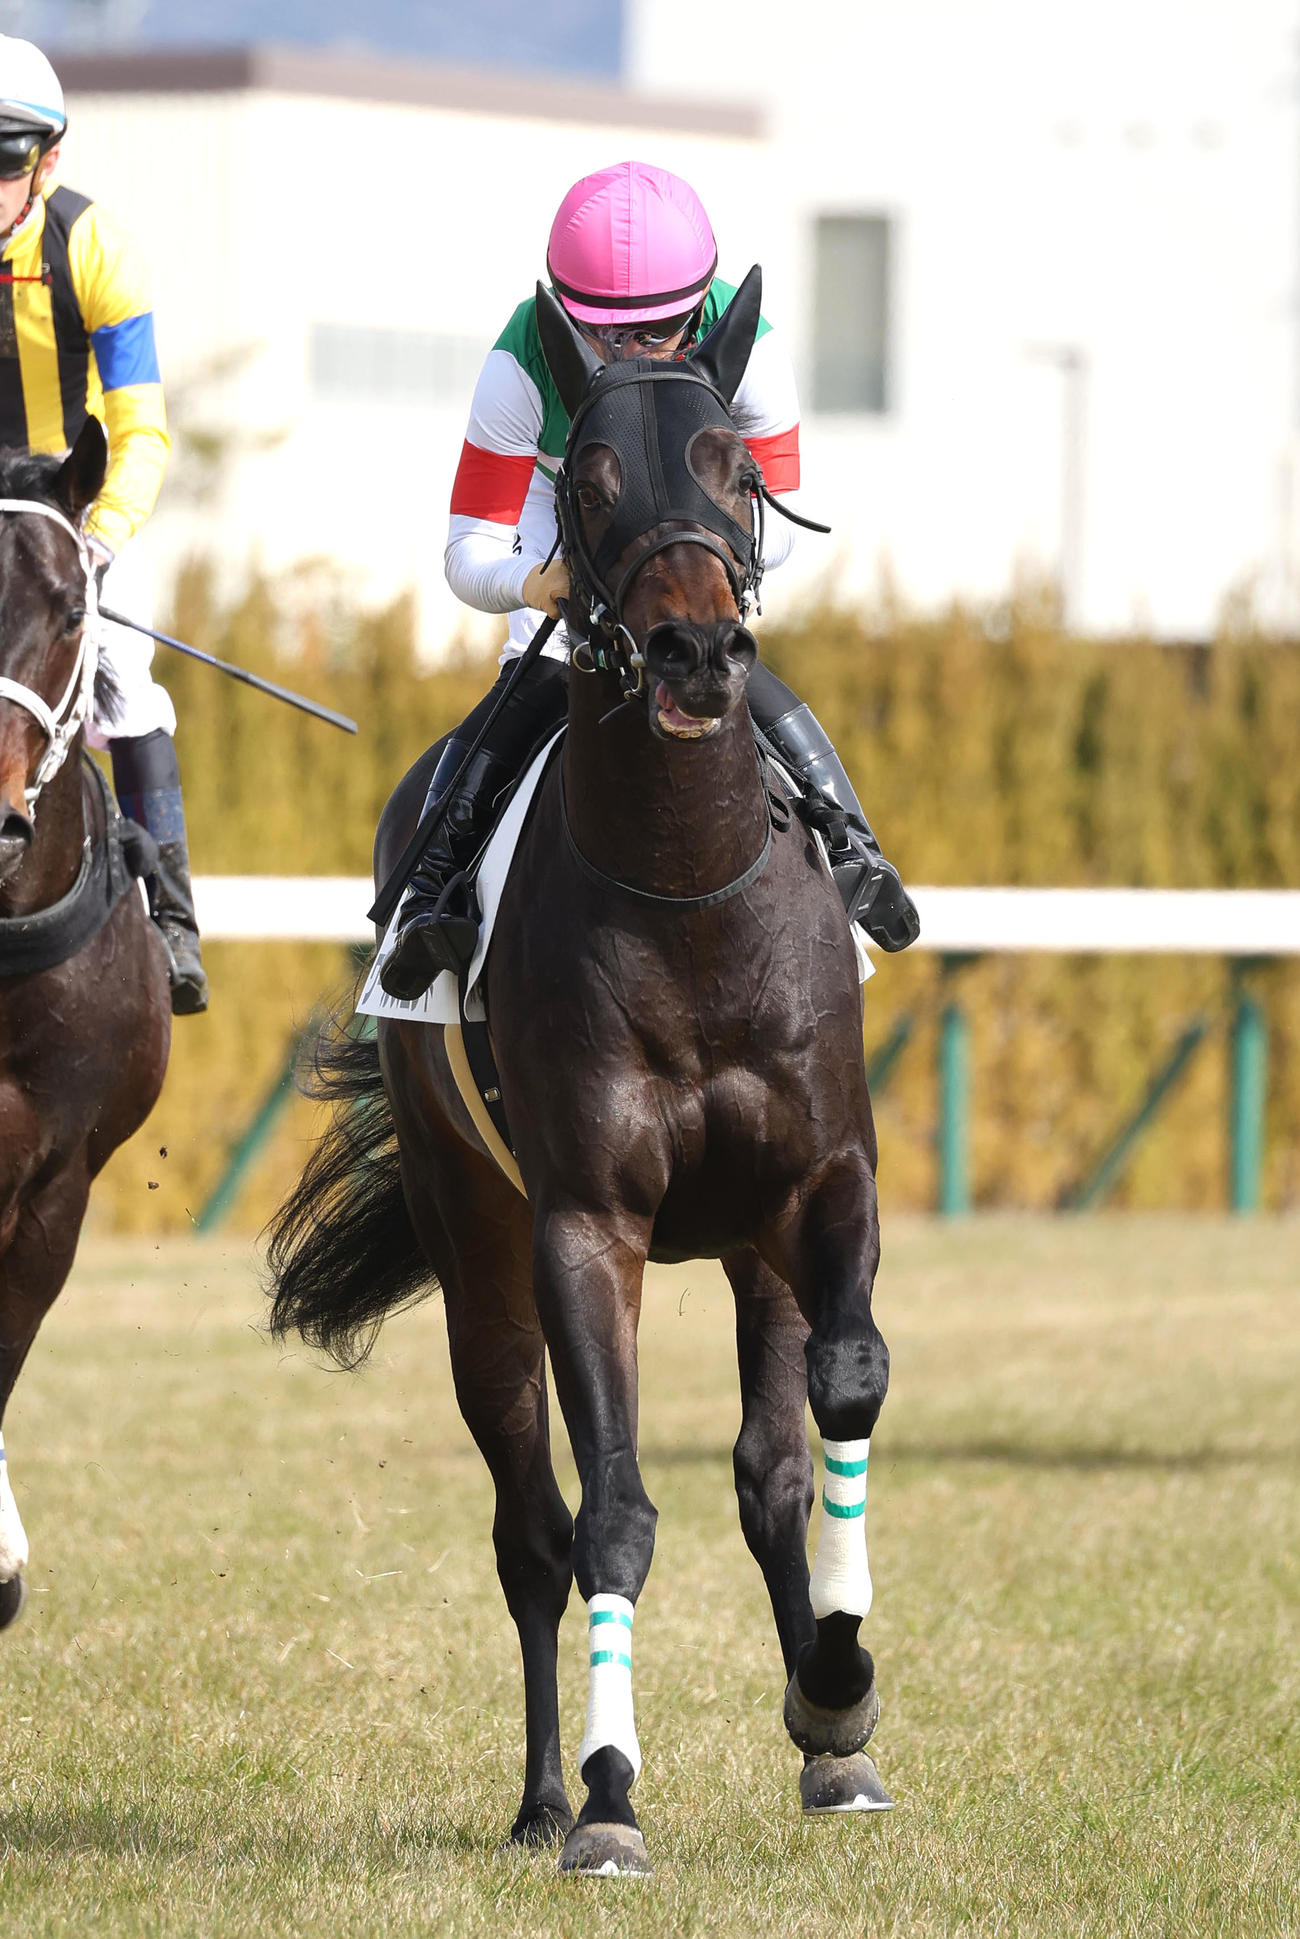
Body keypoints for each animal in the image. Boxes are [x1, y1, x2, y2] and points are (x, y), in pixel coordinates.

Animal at [267, 271, 893, 1877]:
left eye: (735, 464)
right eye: (594, 476)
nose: (693, 653)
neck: (687, 892)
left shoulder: (818, 1180)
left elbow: (841, 1390)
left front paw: (840, 1691)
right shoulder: (583, 1224)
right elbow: (607, 1510)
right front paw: (611, 1799)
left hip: (745, 1245)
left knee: (767, 1472)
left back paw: (825, 1728)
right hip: (475, 1242)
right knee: (529, 1523)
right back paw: (550, 1787)